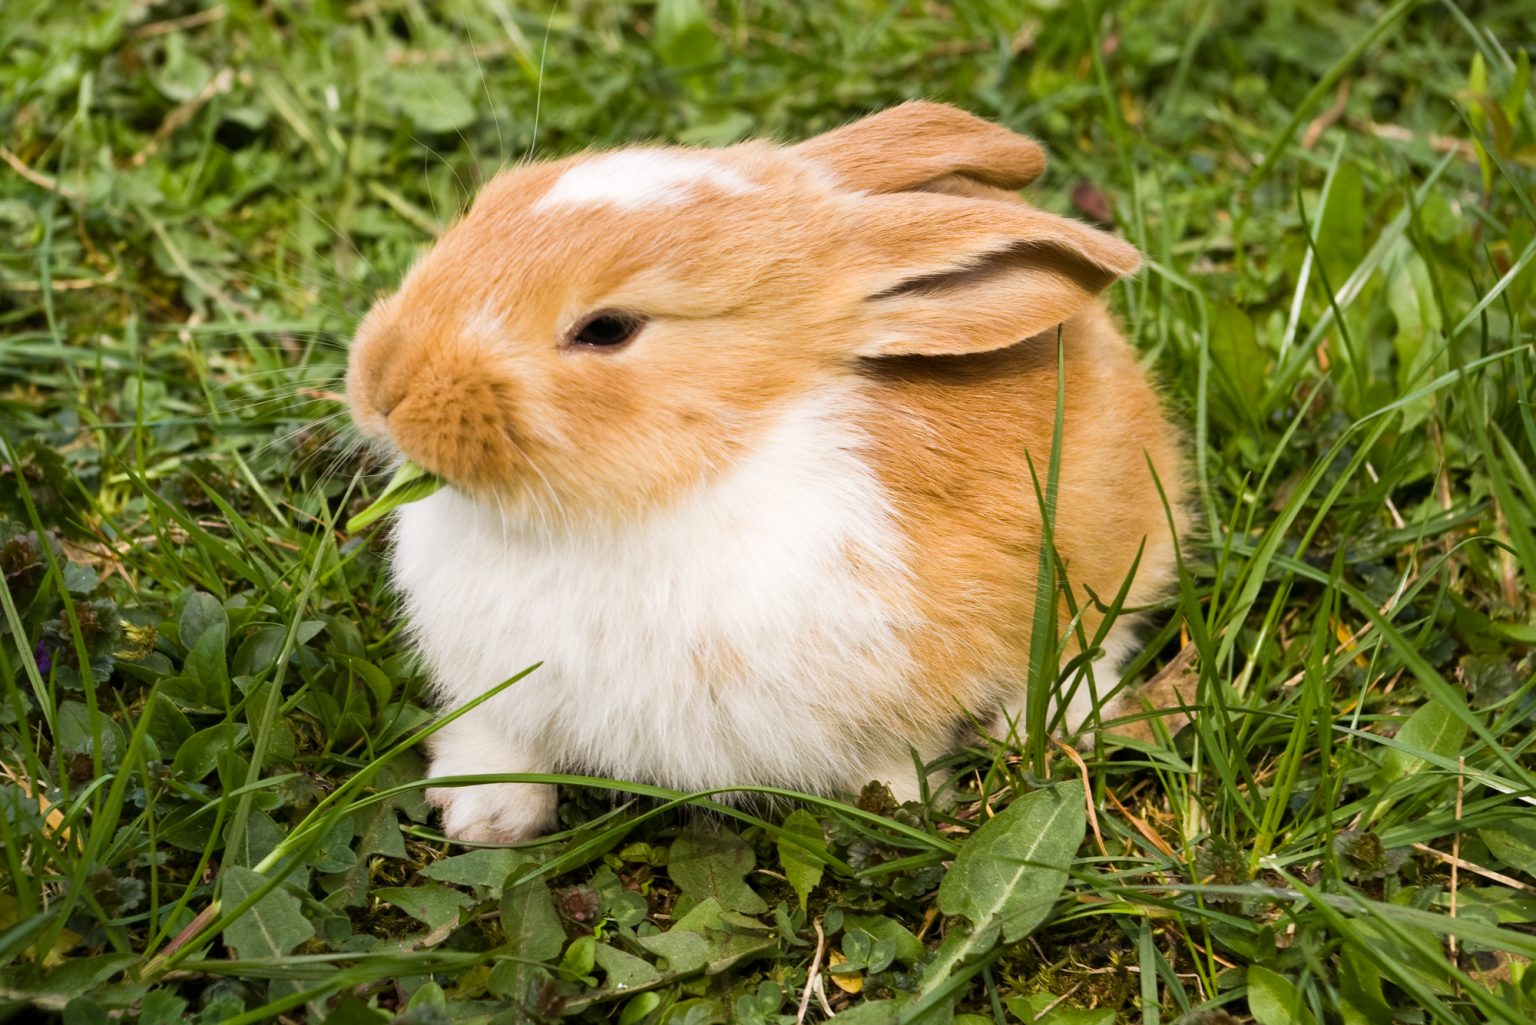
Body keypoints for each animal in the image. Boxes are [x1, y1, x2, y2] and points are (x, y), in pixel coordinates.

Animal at [345, 102, 1188, 842]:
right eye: (491, 203)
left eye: (608, 329)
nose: (382, 383)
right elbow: (503, 741)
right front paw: (482, 819)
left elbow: (895, 752)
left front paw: (899, 805)